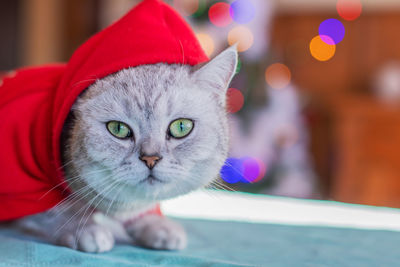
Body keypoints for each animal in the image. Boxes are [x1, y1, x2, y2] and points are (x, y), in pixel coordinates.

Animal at [16, 46, 238, 253]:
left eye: (181, 127)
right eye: (118, 129)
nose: (151, 159)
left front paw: (156, 224)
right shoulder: (25, 187)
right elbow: (50, 212)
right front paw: (83, 228)